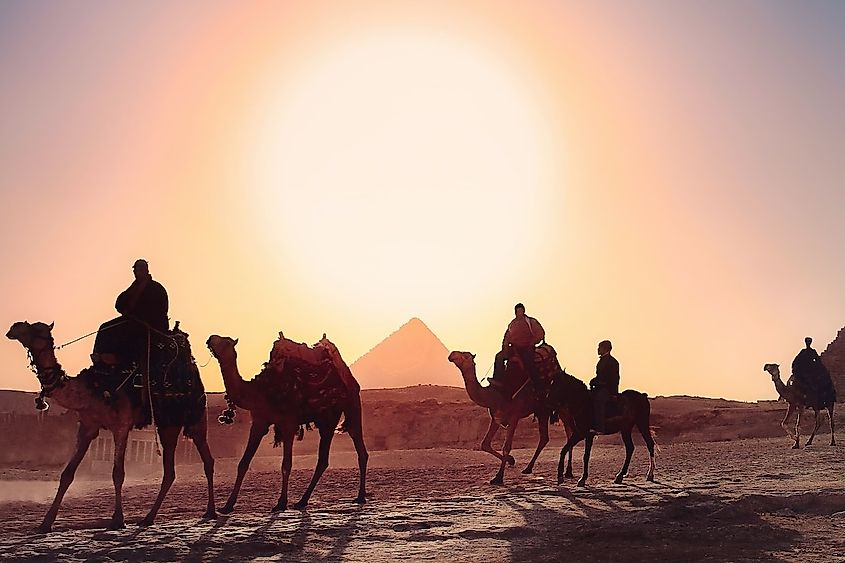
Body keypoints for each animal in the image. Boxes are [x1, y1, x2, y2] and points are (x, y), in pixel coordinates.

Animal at [5, 322, 214, 532]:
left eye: (36, 329)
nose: (14, 328)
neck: (93, 389)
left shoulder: (121, 425)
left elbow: (117, 473)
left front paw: (118, 520)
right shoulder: (87, 426)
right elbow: (67, 474)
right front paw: (45, 523)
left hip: (196, 417)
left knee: (208, 460)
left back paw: (210, 512)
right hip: (168, 425)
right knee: (169, 471)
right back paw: (148, 518)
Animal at [205, 334, 366, 516]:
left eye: (225, 341)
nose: (210, 339)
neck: (259, 390)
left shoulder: (288, 422)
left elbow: (286, 464)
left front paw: (281, 503)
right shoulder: (259, 422)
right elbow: (243, 463)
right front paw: (227, 505)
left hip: (349, 406)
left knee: (358, 449)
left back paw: (360, 496)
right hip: (327, 419)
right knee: (324, 460)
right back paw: (302, 501)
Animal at [448, 350, 572, 486]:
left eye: (466, 355)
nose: (452, 354)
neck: (494, 395)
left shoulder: (514, 416)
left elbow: (506, 447)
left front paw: (498, 477)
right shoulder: (496, 418)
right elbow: (485, 444)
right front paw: (510, 460)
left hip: (558, 408)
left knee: (568, 432)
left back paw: (567, 472)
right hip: (542, 411)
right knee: (547, 437)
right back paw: (530, 469)